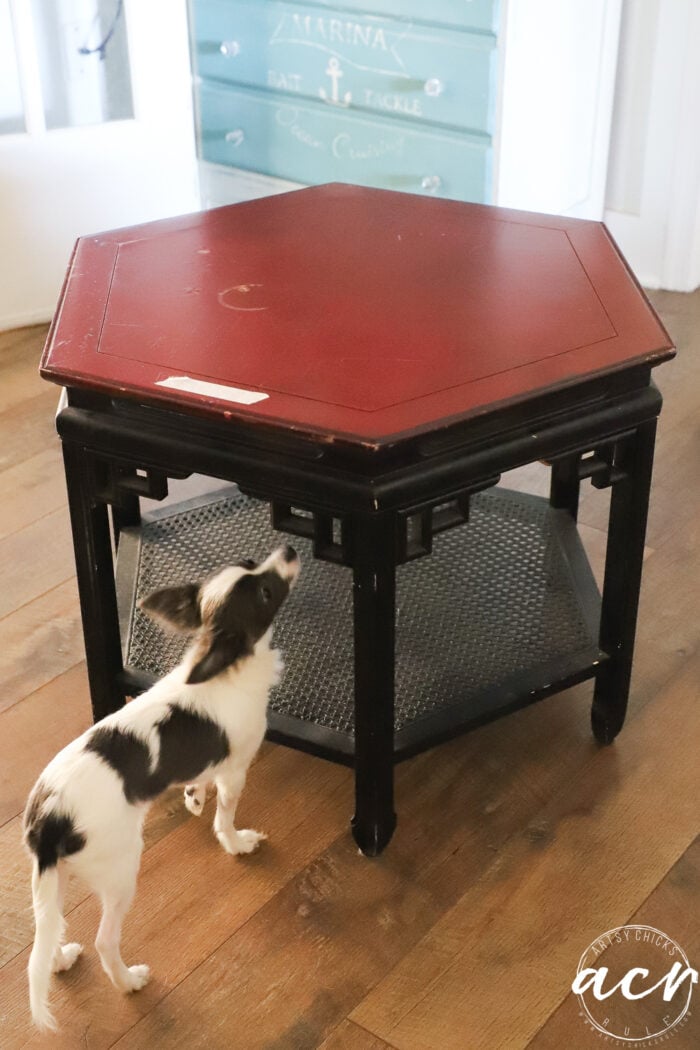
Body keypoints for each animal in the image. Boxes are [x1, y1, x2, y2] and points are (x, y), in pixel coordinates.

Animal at [22, 546, 298, 1029]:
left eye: (250, 563)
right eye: (266, 592)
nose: (290, 550)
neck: (227, 667)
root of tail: (48, 818)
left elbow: (199, 780)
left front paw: (193, 795)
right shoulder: (236, 769)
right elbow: (226, 815)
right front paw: (235, 842)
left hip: (53, 877)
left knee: (47, 931)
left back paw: (60, 959)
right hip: (120, 869)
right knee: (105, 940)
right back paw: (128, 981)